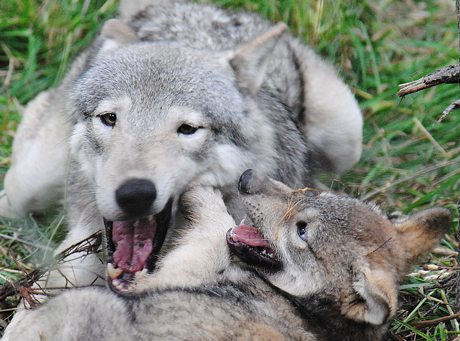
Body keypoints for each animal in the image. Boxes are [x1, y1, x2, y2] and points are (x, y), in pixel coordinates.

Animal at [2, 173, 450, 340]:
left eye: (302, 231)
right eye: (310, 193)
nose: (247, 178)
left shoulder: (187, 265)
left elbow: (215, 222)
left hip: (85, 303)